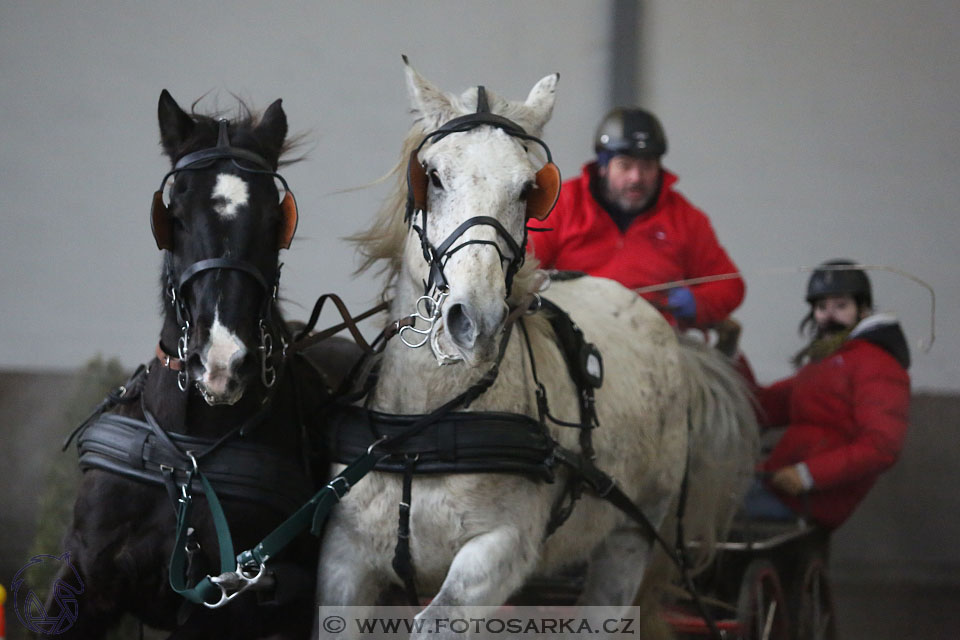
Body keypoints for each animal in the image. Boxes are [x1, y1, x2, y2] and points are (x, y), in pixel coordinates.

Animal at [47, 91, 334, 640]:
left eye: (275, 220)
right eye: (173, 214)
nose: (221, 362)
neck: (189, 461)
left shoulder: (228, 602)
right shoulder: (85, 577)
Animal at [316, 60, 756, 636]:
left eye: (529, 188)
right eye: (431, 175)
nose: (474, 321)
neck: (428, 428)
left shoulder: (497, 555)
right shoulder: (344, 562)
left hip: (631, 538)